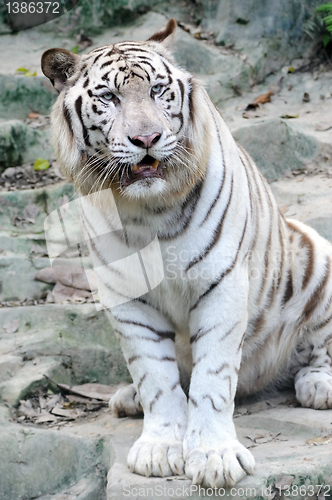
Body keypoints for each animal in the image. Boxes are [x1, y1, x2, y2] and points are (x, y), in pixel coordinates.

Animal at [40, 20, 332, 488]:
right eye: (109, 97)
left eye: (158, 90)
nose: (146, 138)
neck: (147, 211)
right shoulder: (127, 298)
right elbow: (154, 377)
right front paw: (159, 448)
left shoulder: (222, 283)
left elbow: (213, 379)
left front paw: (215, 458)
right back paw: (127, 398)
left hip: (315, 251)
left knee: (319, 344)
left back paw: (317, 385)